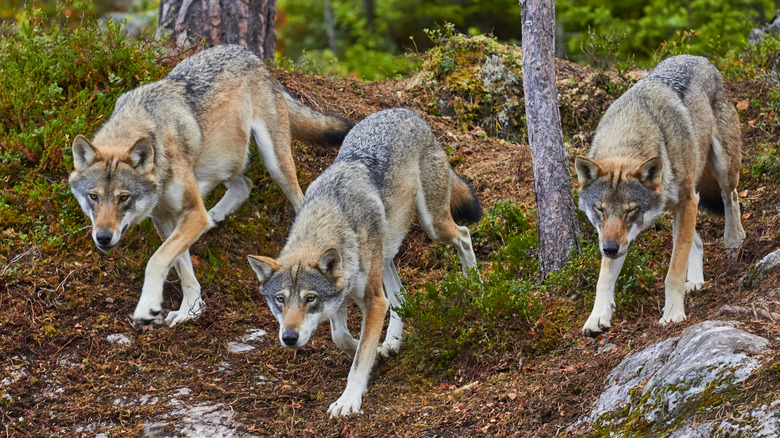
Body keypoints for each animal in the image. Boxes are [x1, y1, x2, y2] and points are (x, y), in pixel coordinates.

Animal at [68, 44, 352, 326]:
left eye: (123, 197)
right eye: (93, 197)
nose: (103, 237)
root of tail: (247, 53)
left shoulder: (190, 215)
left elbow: (157, 260)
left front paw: (147, 307)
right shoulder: (167, 218)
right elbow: (182, 268)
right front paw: (190, 310)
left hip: (275, 163)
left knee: (297, 200)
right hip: (222, 162)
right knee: (243, 184)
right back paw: (214, 216)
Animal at [576, 54, 748, 336]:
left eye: (630, 210)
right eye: (600, 210)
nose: (609, 249)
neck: (629, 138)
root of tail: (699, 57)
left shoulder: (688, 200)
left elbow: (674, 270)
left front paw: (673, 313)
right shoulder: (616, 236)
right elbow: (604, 278)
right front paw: (597, 317)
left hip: (722, 169)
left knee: (730, 197)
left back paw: (734, 241)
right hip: (676, 207)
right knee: (697, 241)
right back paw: (696, 281)